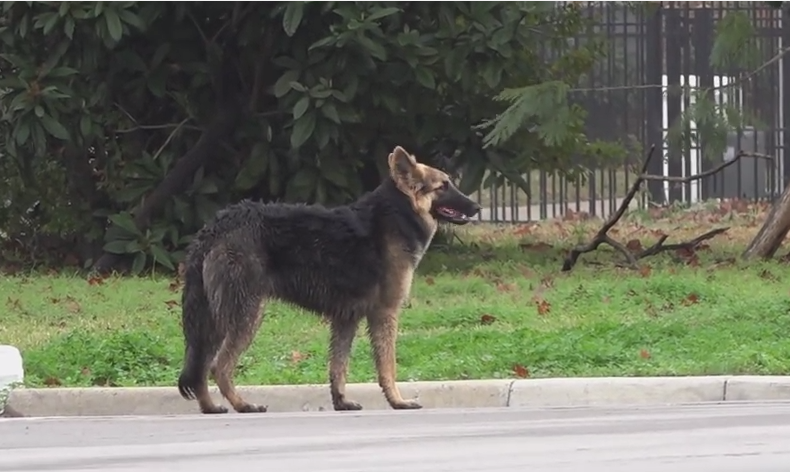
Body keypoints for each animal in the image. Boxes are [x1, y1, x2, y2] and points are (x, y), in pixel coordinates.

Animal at [178, 146, 482, 414]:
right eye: (443, 186)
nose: (478, 207)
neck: (397, 213)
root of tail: (217, 225)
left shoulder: (346, 319)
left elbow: (338, 366)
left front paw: (341, 401)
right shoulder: (385, 314)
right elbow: (387, 366)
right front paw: (397, 401)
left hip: (215, 319)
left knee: (201, 367)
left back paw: (211, 407)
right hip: (246, 315)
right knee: (219, 366)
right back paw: (243, 405)